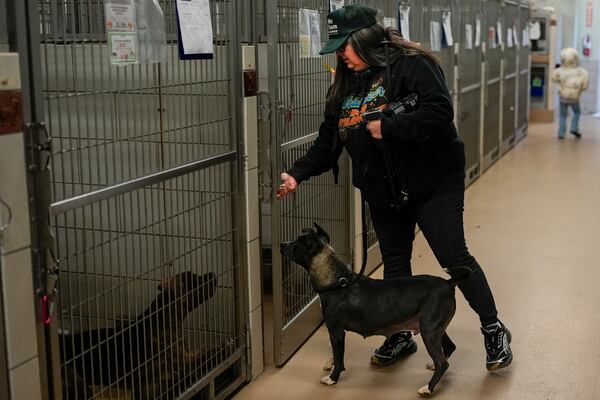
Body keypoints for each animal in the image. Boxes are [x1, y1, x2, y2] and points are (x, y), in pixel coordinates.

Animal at [58, 270, 217, 398]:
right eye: (194, 279)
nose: (213, 274)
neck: (165, 318)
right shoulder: (183, 362)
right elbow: (204, 353)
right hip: (80, 383)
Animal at [282, 223, 474, 396]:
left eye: (296, 244)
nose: (282, 244)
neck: (337, 281)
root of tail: (448, 283)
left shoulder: (336, 331)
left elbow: (339, 358)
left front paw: (332, 377)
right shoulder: (334, 331)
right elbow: (334, 353)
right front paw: (330, 364)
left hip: (429, 330)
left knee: (443, 363)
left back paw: (428, 388)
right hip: (435, 327)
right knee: (449, 347)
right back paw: (433, 367)